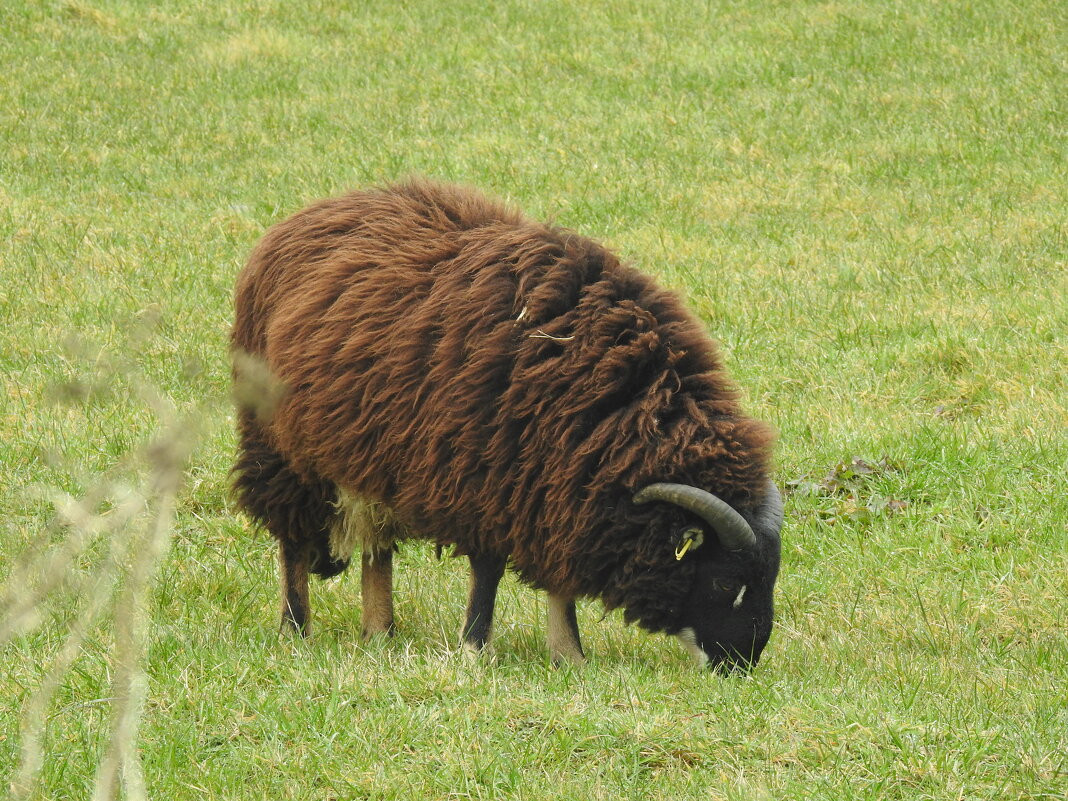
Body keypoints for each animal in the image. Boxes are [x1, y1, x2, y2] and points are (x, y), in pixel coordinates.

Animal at [231, 180, 786, 670]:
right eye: (724, 582)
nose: (741, 664)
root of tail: (313, 211)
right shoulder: (485, 479)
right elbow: (489, 570)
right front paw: (475, 648)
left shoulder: (558, 486)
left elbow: (560, 576)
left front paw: (569, 657)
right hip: (278, 449)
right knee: (293, 541)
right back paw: (295, 629)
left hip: (369, 450)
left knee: (377, 549)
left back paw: (380, 631)